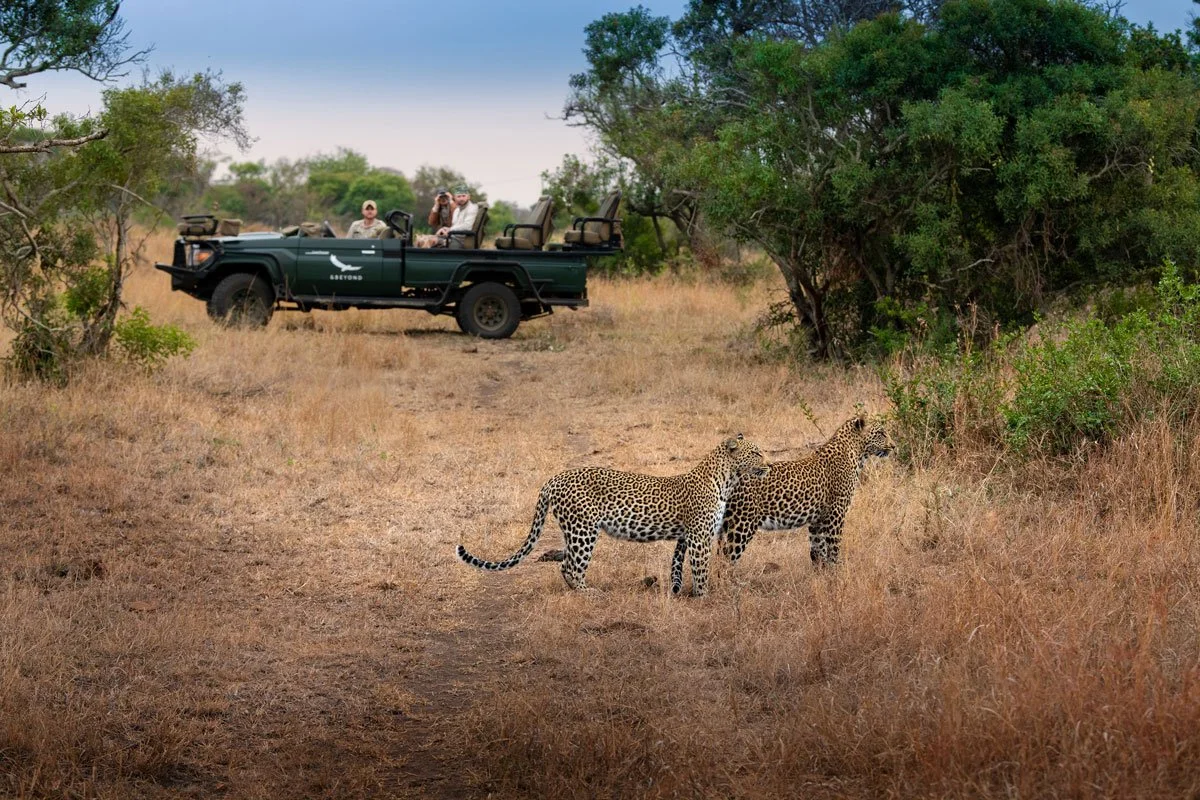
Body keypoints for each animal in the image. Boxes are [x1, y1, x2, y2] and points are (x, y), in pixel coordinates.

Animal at [456, 435, 770, 596]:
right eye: (756, 453)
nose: (768, 465)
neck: (726, 480)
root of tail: (553, 480)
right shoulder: (700, 536)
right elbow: (702, 568)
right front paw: (704, 596)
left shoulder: (689, 536)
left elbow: (687, 566)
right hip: (583, 530)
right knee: (572, 567)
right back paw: (589, 593)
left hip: (572, 530)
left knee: (565, 562)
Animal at [719, 414, 891, 567]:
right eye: (881, 433)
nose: (893, 446)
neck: (857, 453)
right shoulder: (836, 514)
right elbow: (833, 549)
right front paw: (836, 574)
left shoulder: (818, 520)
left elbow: (818, 551)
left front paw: (822, 575)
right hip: (741, 524)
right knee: (727, 560)